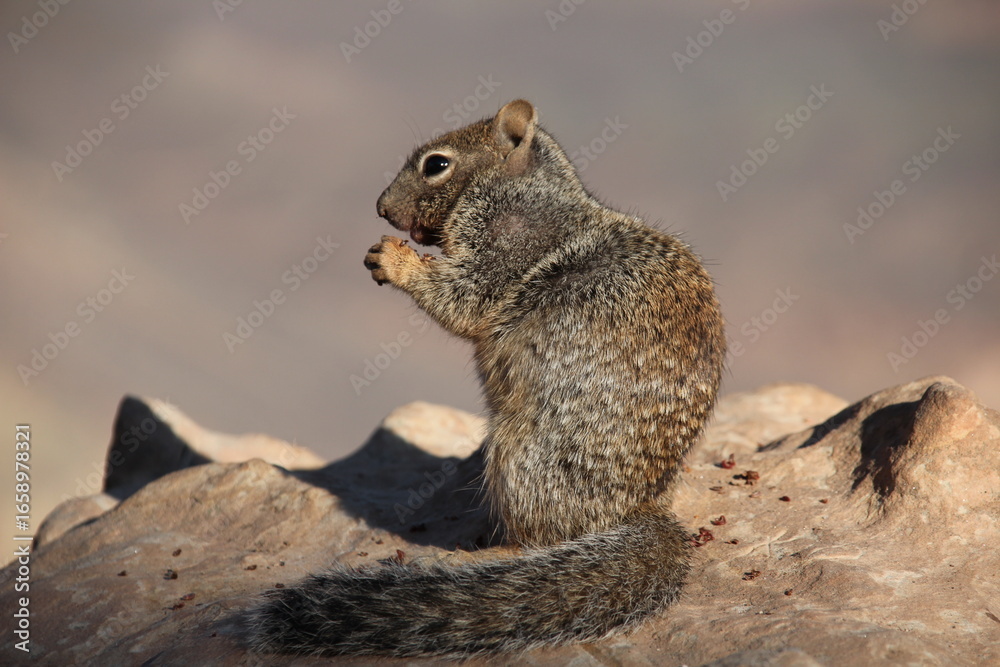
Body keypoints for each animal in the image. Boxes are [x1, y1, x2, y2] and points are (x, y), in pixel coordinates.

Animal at [247, 99, 726, 658]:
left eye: (436, 164)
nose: (382, 209)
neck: (524, 184)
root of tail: (639, 509)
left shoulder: (503, 243)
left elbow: (464, 298)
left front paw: (395, 259)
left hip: (516, 453)